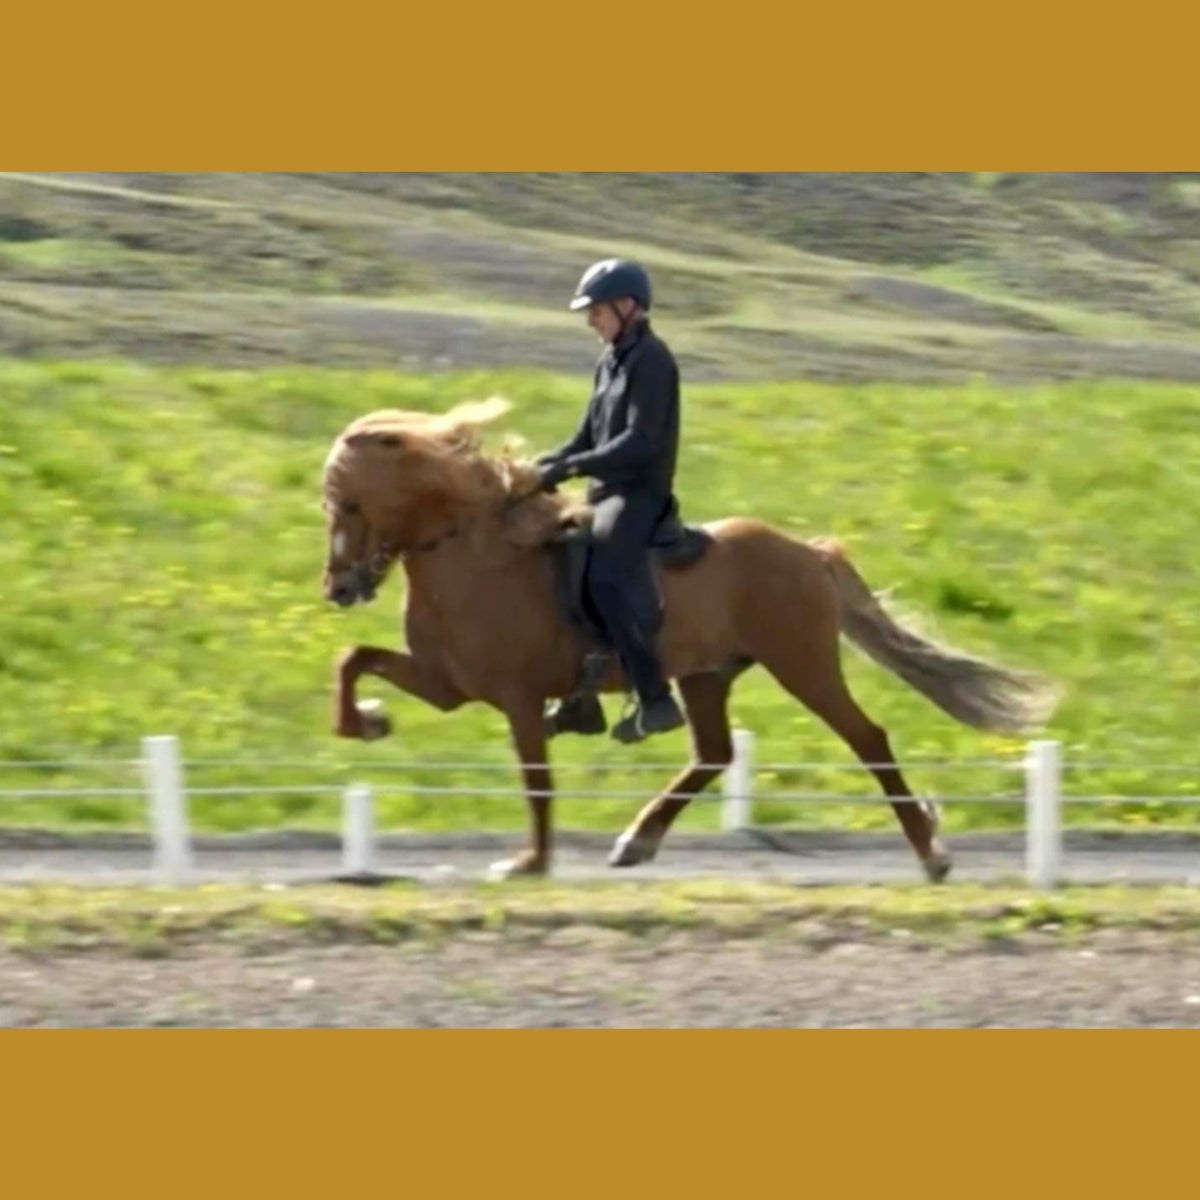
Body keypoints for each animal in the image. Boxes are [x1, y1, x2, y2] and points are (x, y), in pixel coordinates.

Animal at [319, 398, 1060, 878]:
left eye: (349, 503)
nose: (340, 588)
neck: (478, 554)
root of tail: (808, 553)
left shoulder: (517, 697)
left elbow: (536, 779)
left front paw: (530, 862)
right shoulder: (449, 685)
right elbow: (354, 660)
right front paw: (370, 723)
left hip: (803, 665)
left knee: (867, 738)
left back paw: (931, 852)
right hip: (706, 676)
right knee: (715, 755)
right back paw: (637, 841)